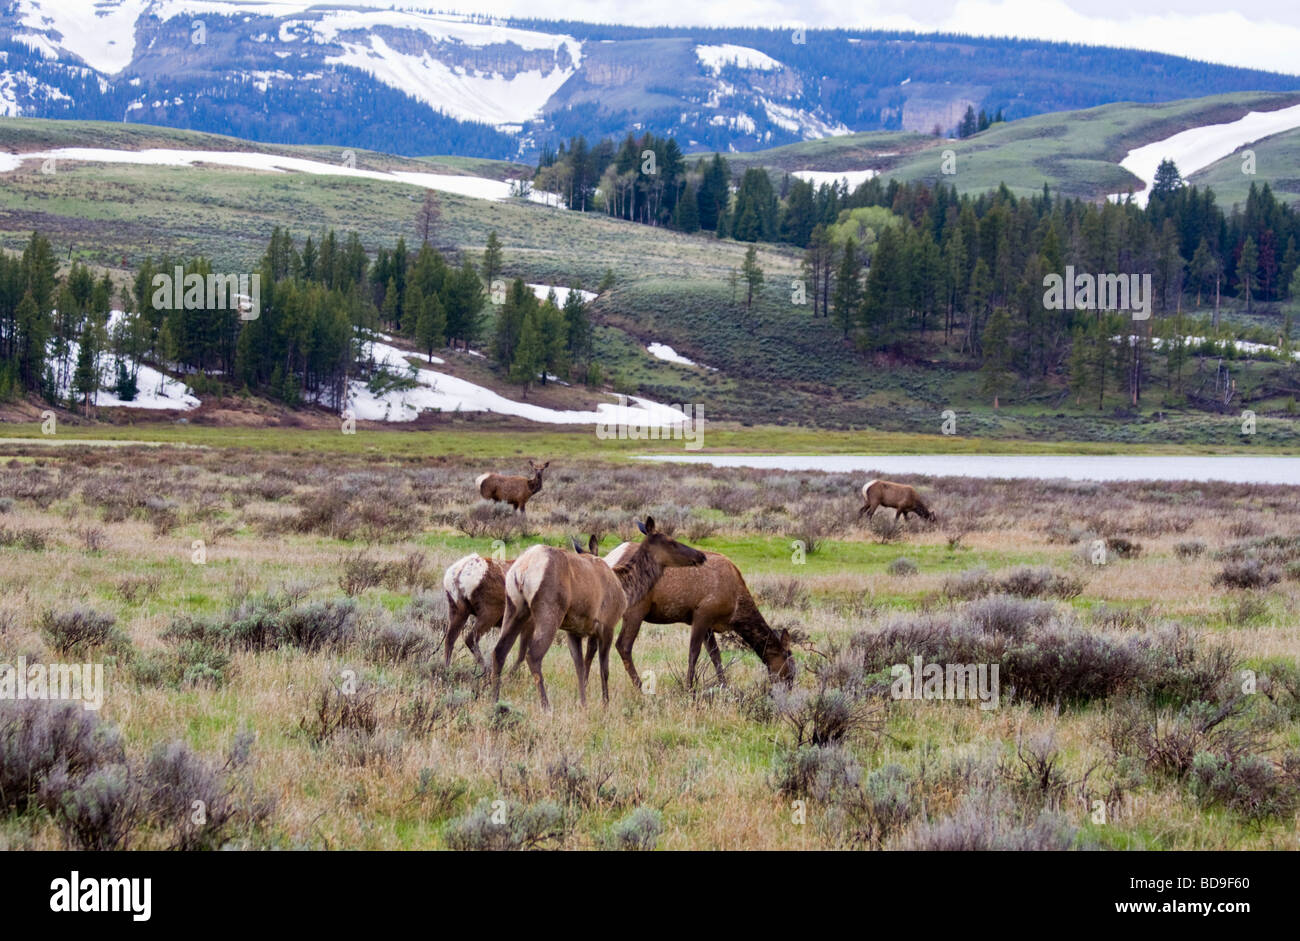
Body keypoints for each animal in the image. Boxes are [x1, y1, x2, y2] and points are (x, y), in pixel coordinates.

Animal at [488, 517, 712, 707]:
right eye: (671, 541)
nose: (701, 555)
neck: (625, 589)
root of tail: (522, 570)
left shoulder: (574, 630)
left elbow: (579, 667)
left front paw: (583, 703)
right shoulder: (608, 624)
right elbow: (604, 669)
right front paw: (605, 703)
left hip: (515, 607)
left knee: (499, 651)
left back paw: (495, 701)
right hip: (549, 610)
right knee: (533, 655)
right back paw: (545, 706)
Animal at [600, 540, 800, 686]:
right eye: (790, 672)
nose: (786, 694)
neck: (735, 607)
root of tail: (610, 559)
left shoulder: (709, 623)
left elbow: (715, 655)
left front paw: (724, 685)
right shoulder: (702, 613)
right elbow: (694, 653)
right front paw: (689, 687)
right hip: (636, 609)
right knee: (623, 646)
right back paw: (640, 686)